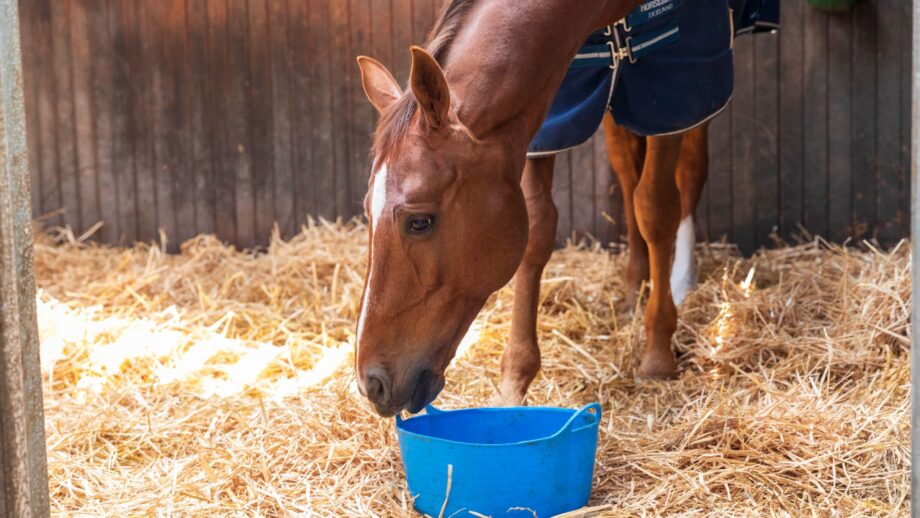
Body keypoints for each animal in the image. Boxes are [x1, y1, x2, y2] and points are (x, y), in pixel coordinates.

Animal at [352, 0, 745, 417]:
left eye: (420, 221)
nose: (371, 383)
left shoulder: (674, 76)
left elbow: (656, 207)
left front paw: (657, 355)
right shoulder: (550, 106)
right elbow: (538, 228)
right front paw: (515, 378)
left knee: (686, 173)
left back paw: (681, 278)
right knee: (625, 169)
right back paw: (634, 285)